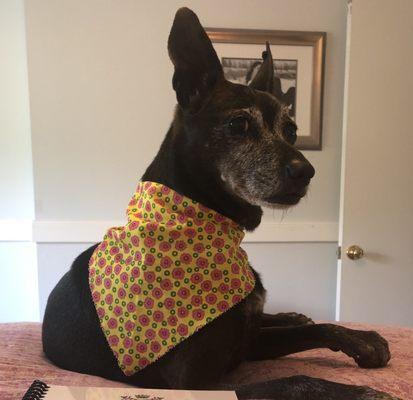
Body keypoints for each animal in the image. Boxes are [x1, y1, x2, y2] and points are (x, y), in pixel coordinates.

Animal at [41, 8, 396, 400]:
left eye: (291, 130)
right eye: (239, 123)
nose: (307, 171)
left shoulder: (246, 344)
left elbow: (316, 329)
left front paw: (362, 339)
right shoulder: (195, 384)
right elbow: (292, 379)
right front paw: (360, 392)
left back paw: (289, 313)